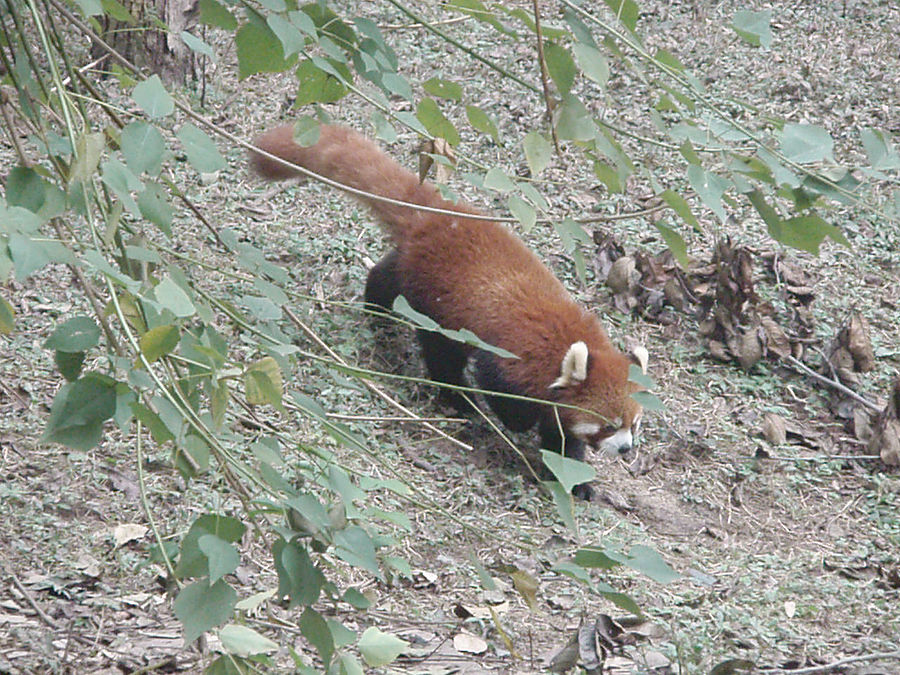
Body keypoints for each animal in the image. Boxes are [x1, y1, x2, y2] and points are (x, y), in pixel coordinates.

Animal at [250, 124, 652, 500]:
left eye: (633, 424)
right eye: (609, 424)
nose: (626, 449)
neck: (565, 345)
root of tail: (442, 216)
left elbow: (564, 443)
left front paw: (576, 482)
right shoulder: (512, 355)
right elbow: (502, 389)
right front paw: (518, 422)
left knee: (388, 276)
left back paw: (376, 305)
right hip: (437, 304)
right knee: (440, 351)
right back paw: (458, 398)